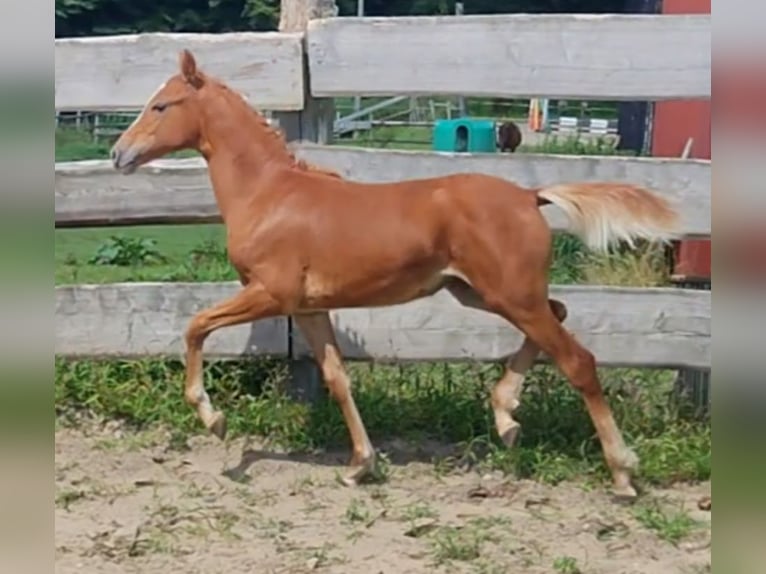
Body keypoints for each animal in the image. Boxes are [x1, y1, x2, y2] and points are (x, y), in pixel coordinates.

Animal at [111, 48, 680, 500]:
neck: (269, 194)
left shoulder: (270, 292)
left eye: (161, 105)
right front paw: (360, 466)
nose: (119, 154)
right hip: (482, 292)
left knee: (578, 359)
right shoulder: (309, 308)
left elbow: (195, 327)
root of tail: (528, 195)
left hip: (510, 295)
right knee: (557, 314)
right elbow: (337, 378)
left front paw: (214, 419)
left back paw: (621, 473)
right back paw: (506, 416)